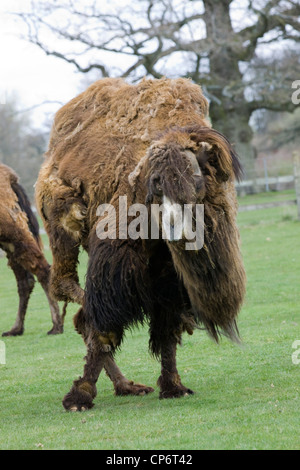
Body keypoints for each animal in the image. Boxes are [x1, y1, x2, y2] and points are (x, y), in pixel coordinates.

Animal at [0, 163, 62, 336]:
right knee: (25, 279)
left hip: (10, 229)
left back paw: (56, 326)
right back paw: (15, 329)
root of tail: (11, 177)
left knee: (42, 270)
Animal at [35, 76, 246, 408]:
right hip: (62, 220)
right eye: (156, 187)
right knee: (68, 290)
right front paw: (79, 395)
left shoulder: (172, 277)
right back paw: (121, 383)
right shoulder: (116, 258)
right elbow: (104, 323)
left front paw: (173, 386)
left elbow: (167, 329)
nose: (174, 230)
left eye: (195, 182)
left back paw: (127, 385)